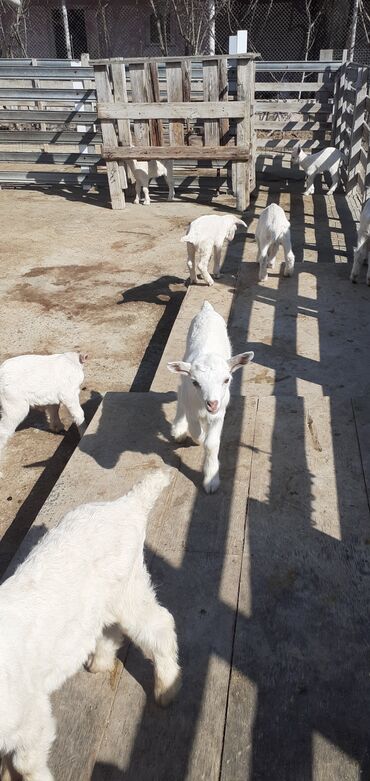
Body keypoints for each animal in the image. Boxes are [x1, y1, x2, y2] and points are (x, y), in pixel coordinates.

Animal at [0, 470, 179, 780]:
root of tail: (127, 504)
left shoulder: (29, 714)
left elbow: (27, 762)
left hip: (128, 587)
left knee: (158, 624)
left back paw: (166, 688)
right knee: (109, 629)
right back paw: (101, 663)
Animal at [168, 300, 253, 490]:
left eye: (227, 380)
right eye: (195, 382)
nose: (212, 403)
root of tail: (207, 308)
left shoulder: (219, 414)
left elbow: (211, 443)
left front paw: (211, 480)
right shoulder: (192, 407)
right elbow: (196, 431)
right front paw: (196, 435)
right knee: (179, 390)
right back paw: (179, 429)